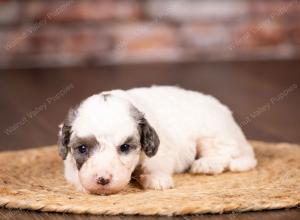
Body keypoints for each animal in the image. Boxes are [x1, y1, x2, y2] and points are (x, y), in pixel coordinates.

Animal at [57, 86, 256, 194]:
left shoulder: (162, 149)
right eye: (82, 149)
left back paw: (207, 164)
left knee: (224, 153)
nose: (102, 179)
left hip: (211, 133)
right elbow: (74, 173)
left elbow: (155, 163)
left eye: (125, 147)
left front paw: (156, 178)